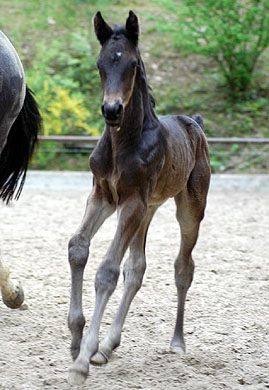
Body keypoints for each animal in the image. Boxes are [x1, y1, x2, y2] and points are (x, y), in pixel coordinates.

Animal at [67, 10, 209, 386]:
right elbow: (78, 248)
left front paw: (82, 360)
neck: (122, 143)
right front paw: (77, 339)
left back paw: (176, 342)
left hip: (189, 208)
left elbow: (107, 271)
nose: (111, 110)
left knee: (183, 267)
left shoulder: (130, 202)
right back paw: (107, 347)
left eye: (131, 64)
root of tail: (195, 123)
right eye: (100, 64)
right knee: (137, 269)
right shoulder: (103, 195)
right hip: (148, 209)